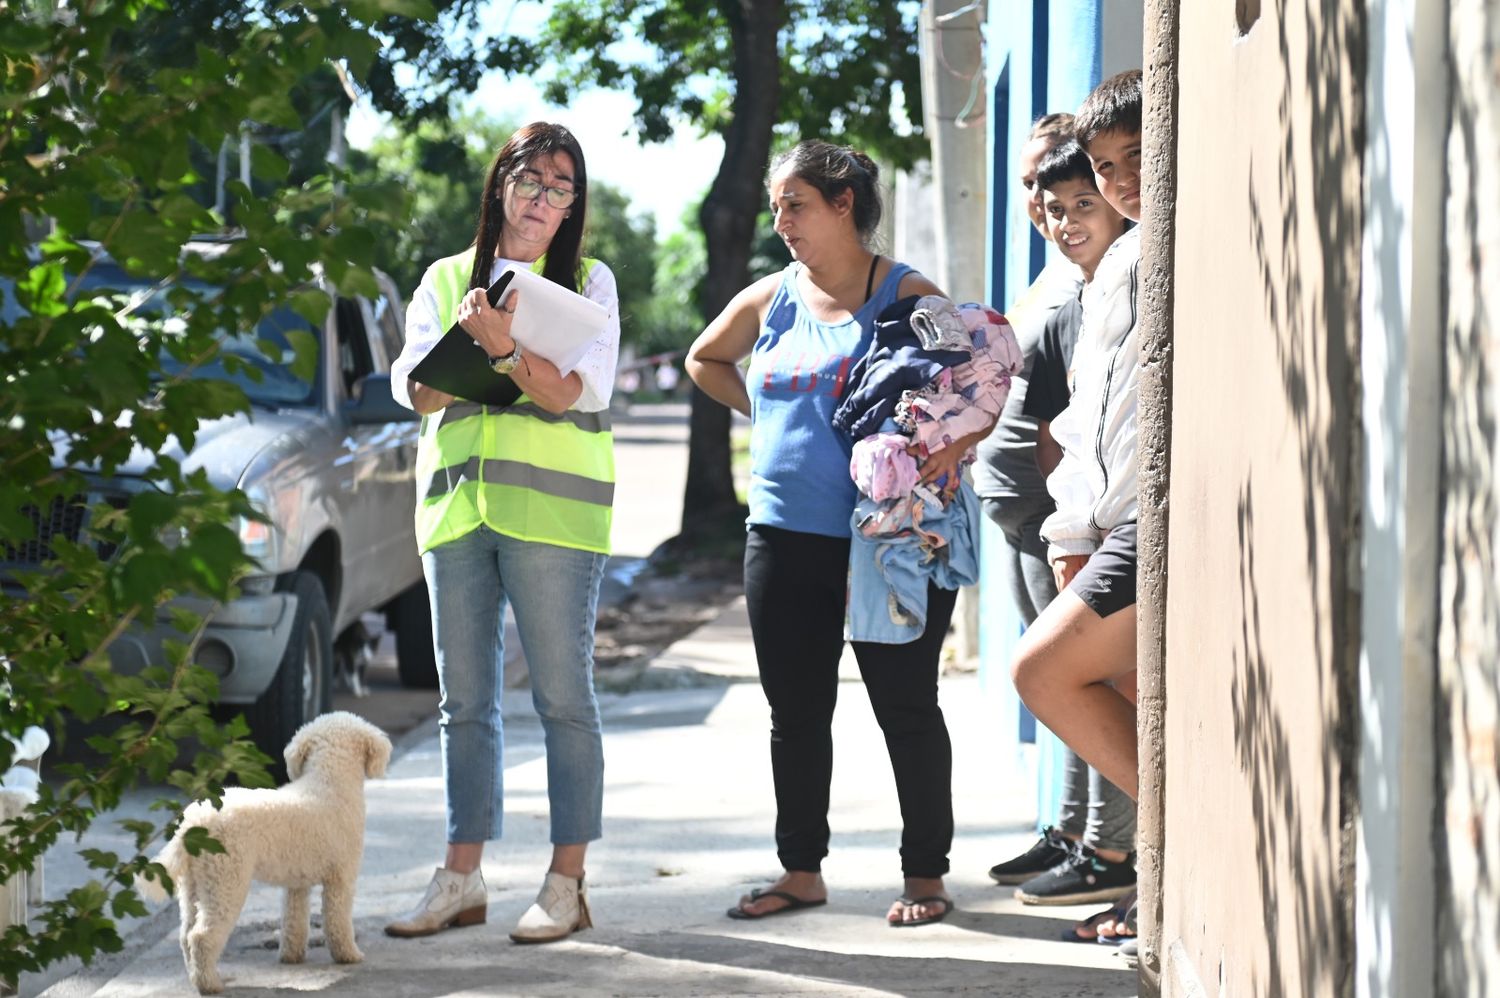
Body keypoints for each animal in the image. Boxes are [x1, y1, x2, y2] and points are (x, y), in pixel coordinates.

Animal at [141, 711, 393, 990]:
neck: (328, 782)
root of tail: (194, 821)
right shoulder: (341, 879)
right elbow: (337, 921)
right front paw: (348, 955)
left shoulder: (297, 884)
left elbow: (294, 921)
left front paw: (292, 956)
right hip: (226, 881)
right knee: (201, 937)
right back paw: (210, 984)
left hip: (195, 883)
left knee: (185, 934)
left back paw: (196, 978)